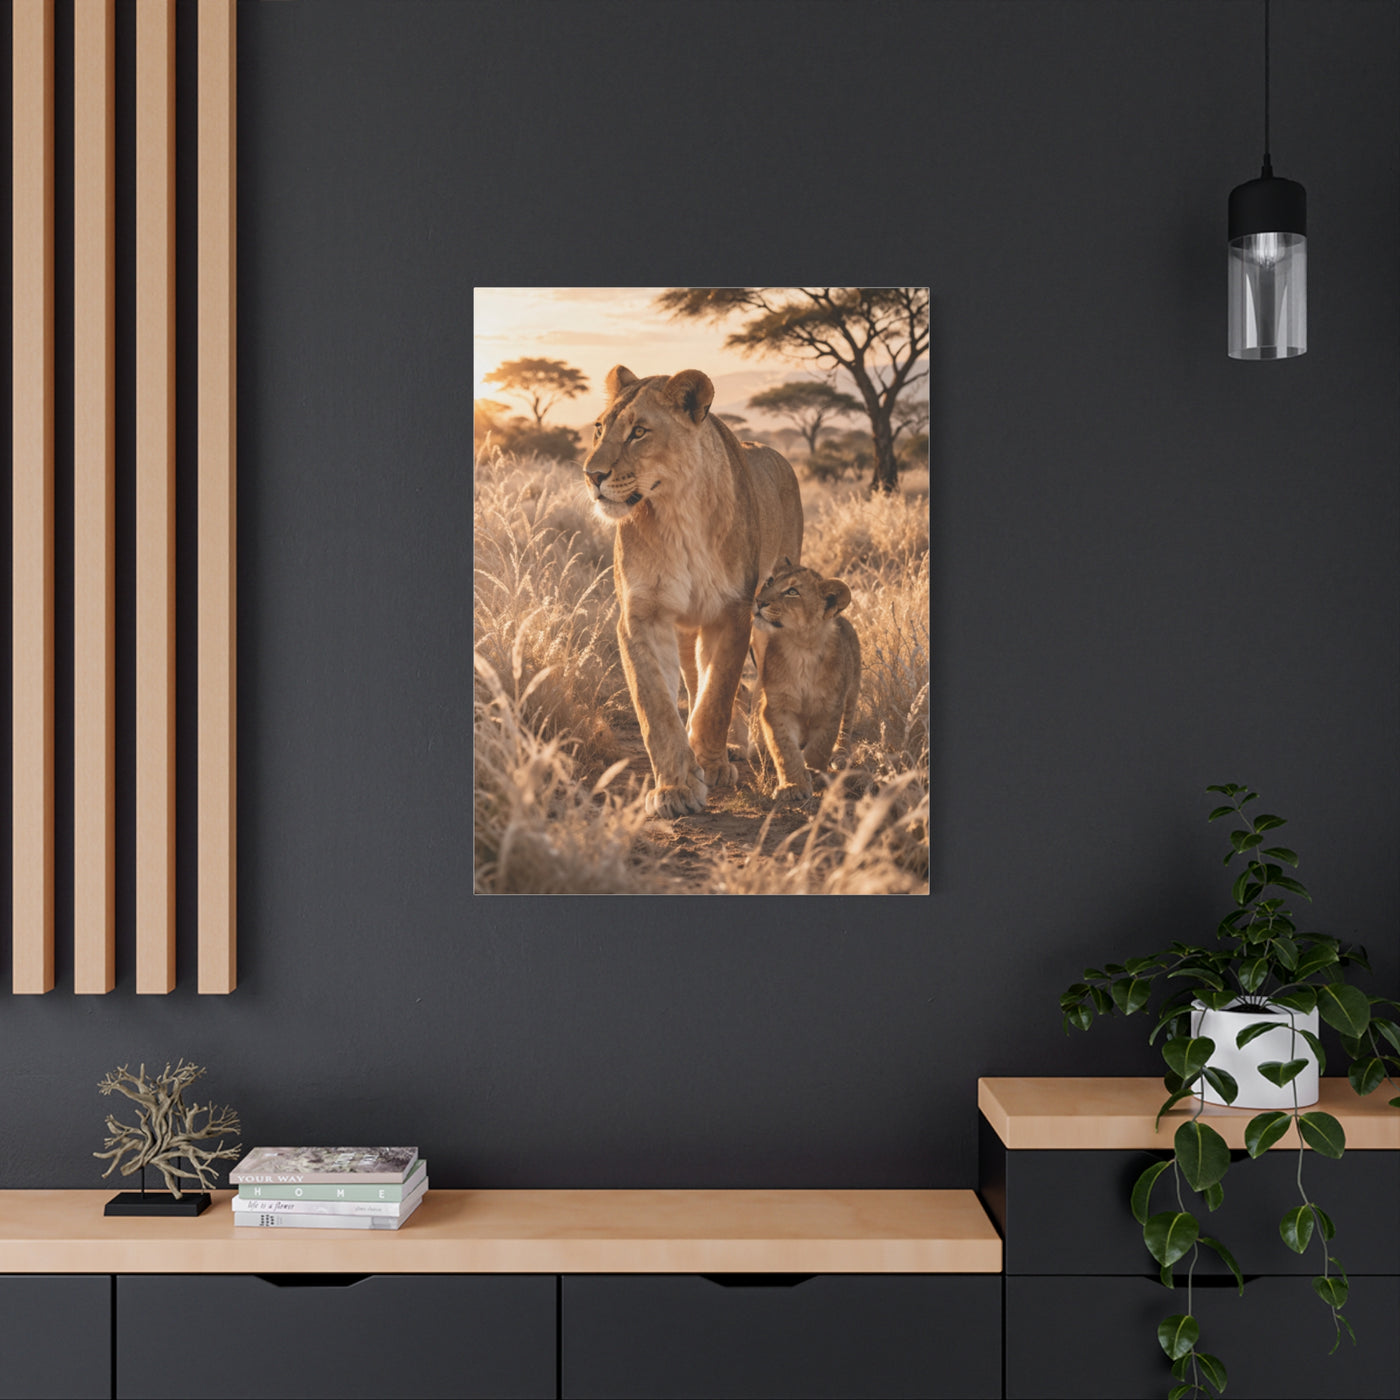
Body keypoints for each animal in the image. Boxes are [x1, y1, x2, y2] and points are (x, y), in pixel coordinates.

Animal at [583, 366, 803, 818]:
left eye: (639, 432)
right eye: (599, 428)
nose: (591, 475)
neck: (676, 512)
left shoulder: (733, 612)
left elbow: (717, 694)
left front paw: (710, 763)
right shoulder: (641, 615)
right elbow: (656, 706)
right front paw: (677, 786)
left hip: (767, 614)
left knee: (739, 685)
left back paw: (743, 748)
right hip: (686, 627)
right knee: (694, 676)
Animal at [749, 560, 861, 800]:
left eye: (792, 592)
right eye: (770, 581)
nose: (759, 601)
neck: (801, 648)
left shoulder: (830, 707)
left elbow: (820, 746)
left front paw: (814, 772)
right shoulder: (776, 707)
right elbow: (784, 749)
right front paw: (794, 785)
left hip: (852, 692)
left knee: (846, 728)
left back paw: (840, 755)